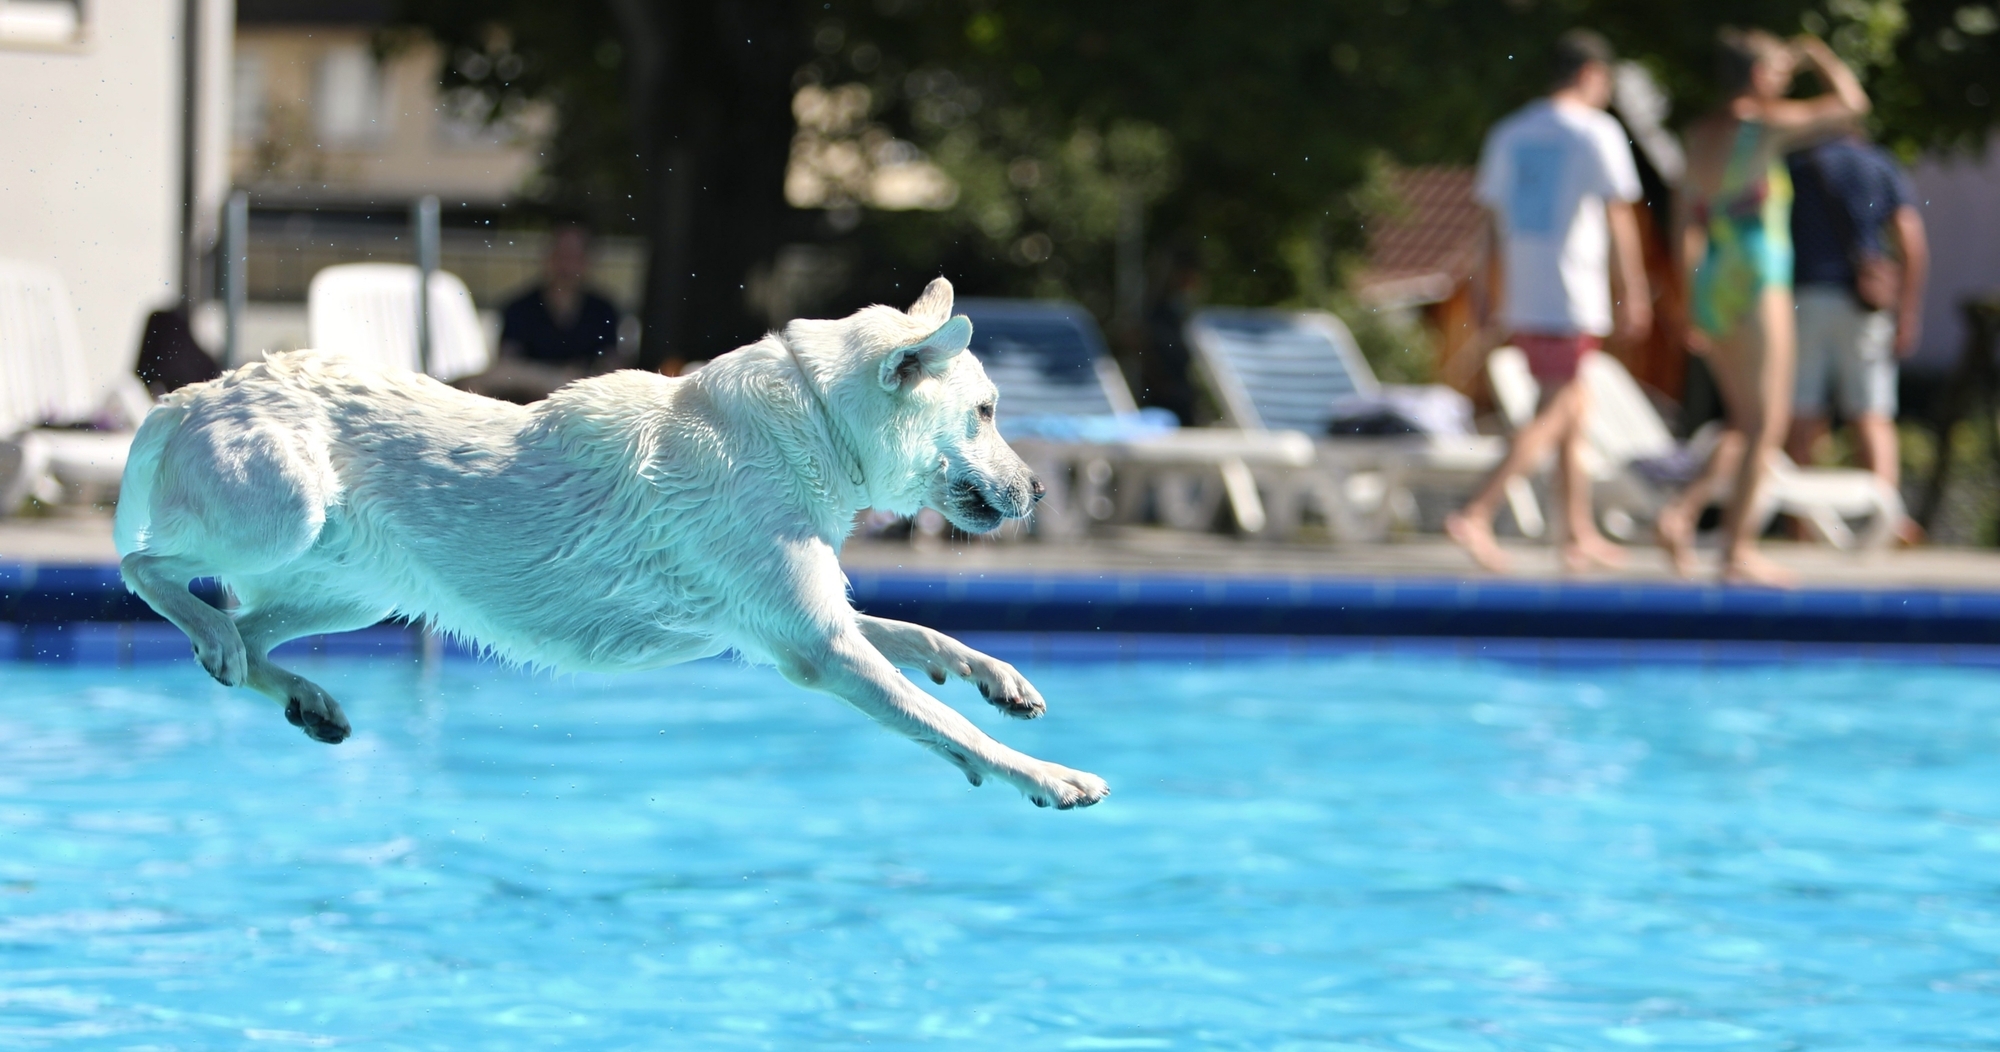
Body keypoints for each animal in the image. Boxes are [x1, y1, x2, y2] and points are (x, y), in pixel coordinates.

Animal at [114, 278, 1108, 810]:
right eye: (986, 412)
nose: (1038, 491)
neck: (812, 421)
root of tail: (197, 390)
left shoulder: (795, 621)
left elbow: (917, 637)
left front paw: (997, 678)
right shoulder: (819, 649)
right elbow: (942, 723)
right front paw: (1047, 777)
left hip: (356, 590)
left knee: (249, 635)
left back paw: (304, 696)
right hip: (285, 511)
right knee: (149, 572)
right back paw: (212, 638)